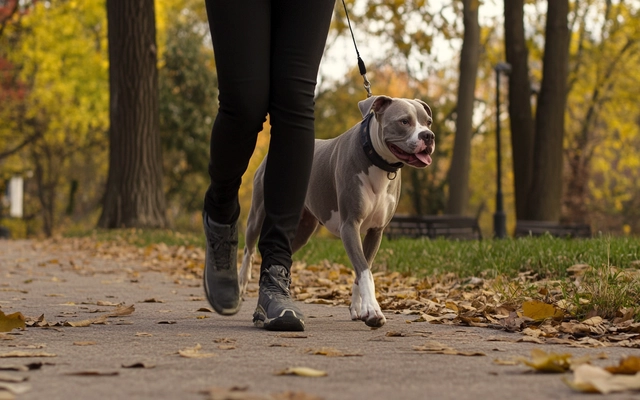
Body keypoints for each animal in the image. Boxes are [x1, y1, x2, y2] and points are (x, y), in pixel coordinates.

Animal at [239, 95, 436, 326]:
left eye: (428, 122)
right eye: (404, 121)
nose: (428, 135)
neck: (376, 161)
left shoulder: (375, 231)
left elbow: (362, 270)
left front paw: (359, 308)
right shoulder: (349, 225)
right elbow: (365, 271)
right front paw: (373, 310)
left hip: (304, 228)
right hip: (257, 214)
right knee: (249, 250)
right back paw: (241, 287)